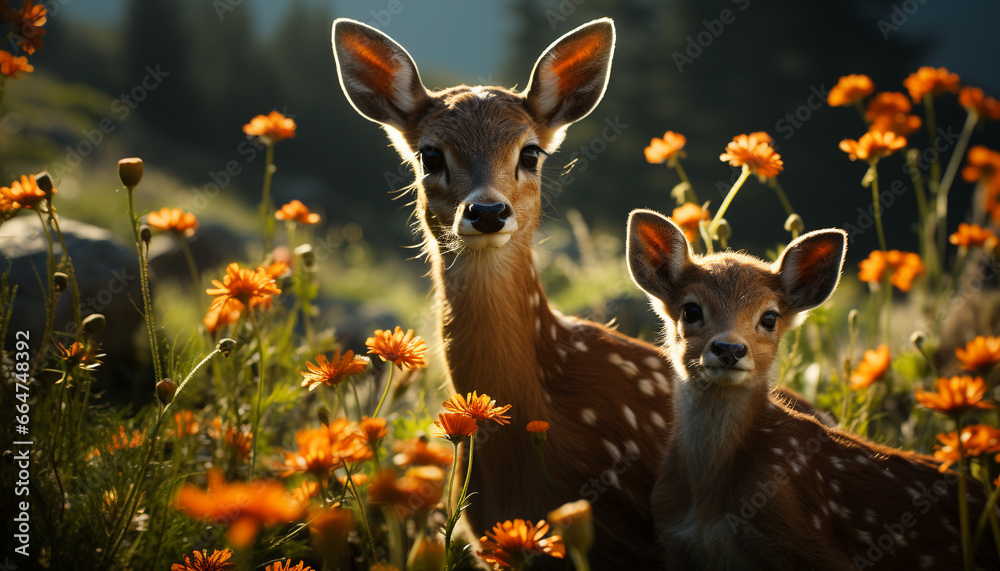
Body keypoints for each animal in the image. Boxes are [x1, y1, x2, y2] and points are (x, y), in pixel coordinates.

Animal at [628, 211, 996, 571]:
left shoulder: (807, 539)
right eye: (691, 309)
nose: (729, 349)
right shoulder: (673, 541)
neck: (708, 502)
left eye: (770, 317)